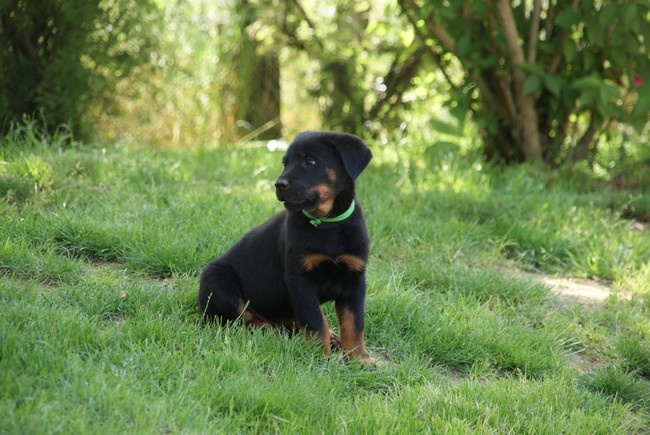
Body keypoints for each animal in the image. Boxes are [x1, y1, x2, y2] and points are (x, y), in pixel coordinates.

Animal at [198, 131, 372, 363]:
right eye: (285, 163)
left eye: (310, 162)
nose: (278, 184)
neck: (327, 224)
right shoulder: (300, 279)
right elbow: (315, 320)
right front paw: (318, 355)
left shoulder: (355, 278)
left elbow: (354, 323)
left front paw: (359, 358)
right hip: (217, 281)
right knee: (239, 318)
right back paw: (267, 328)